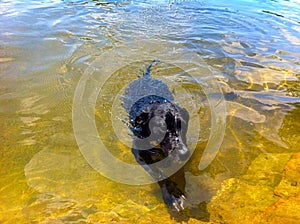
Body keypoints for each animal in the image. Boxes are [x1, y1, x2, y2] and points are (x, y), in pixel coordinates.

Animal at [123, 60, 190, 210]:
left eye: (183, 125)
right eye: (161, 128)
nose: (184, 153)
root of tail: (146, 77)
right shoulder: (138, 153)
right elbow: (157, 172)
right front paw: (172, 195)